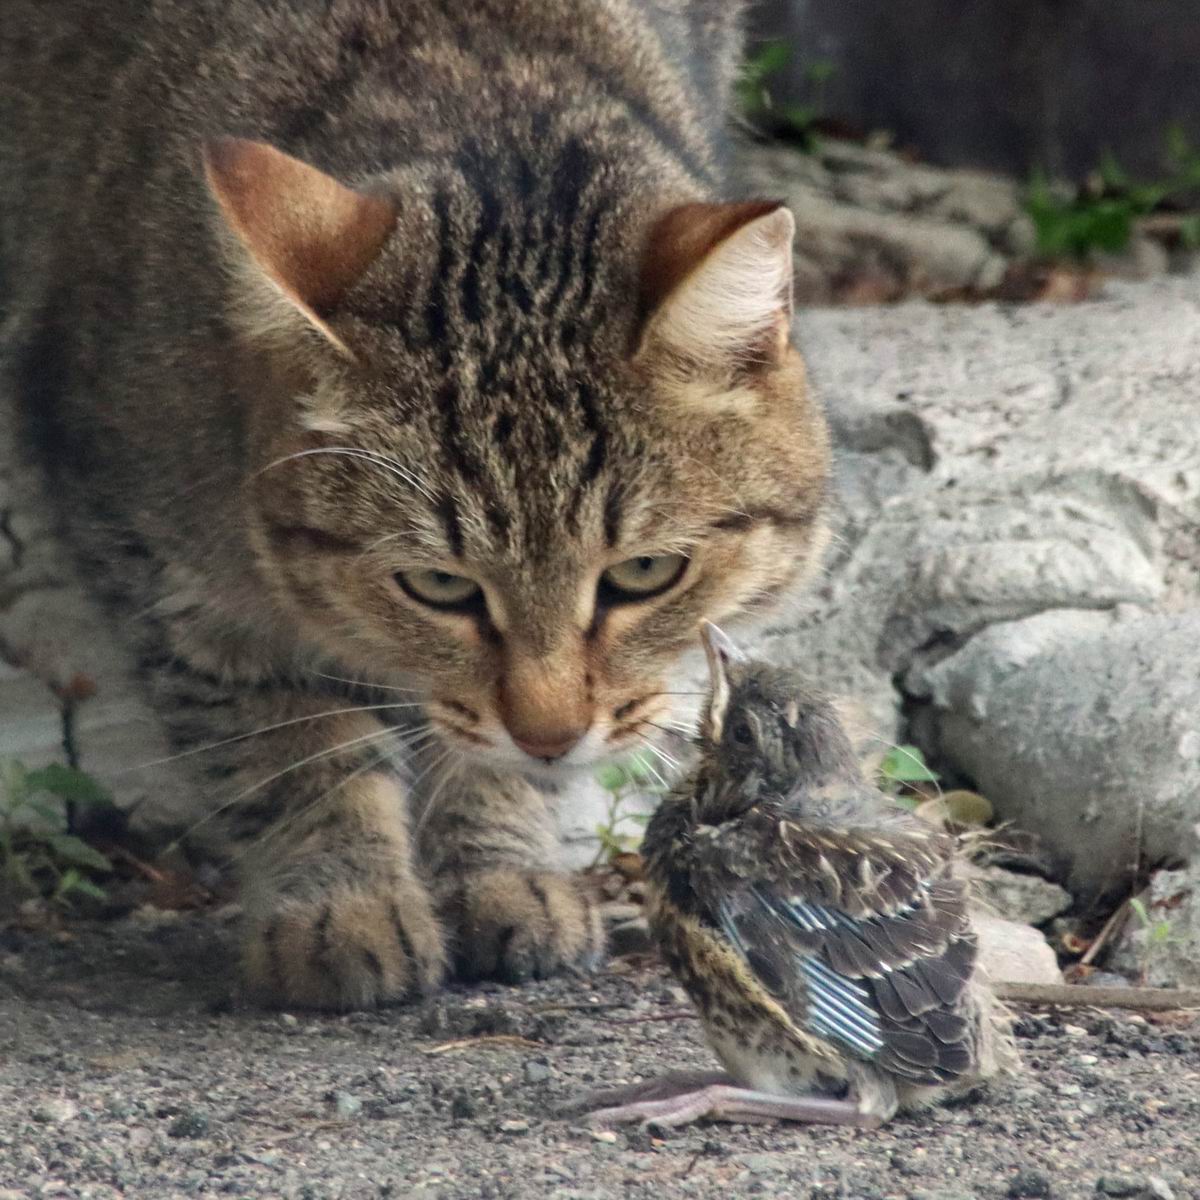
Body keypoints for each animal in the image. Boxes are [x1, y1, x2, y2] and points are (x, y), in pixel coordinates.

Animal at [0, 0, 830, 1008]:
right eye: (439, 586)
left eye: (643, 573)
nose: (551, 736)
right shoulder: (155, 552)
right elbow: (283, 741)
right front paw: (344, 900)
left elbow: (473, 758)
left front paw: (500, 863)